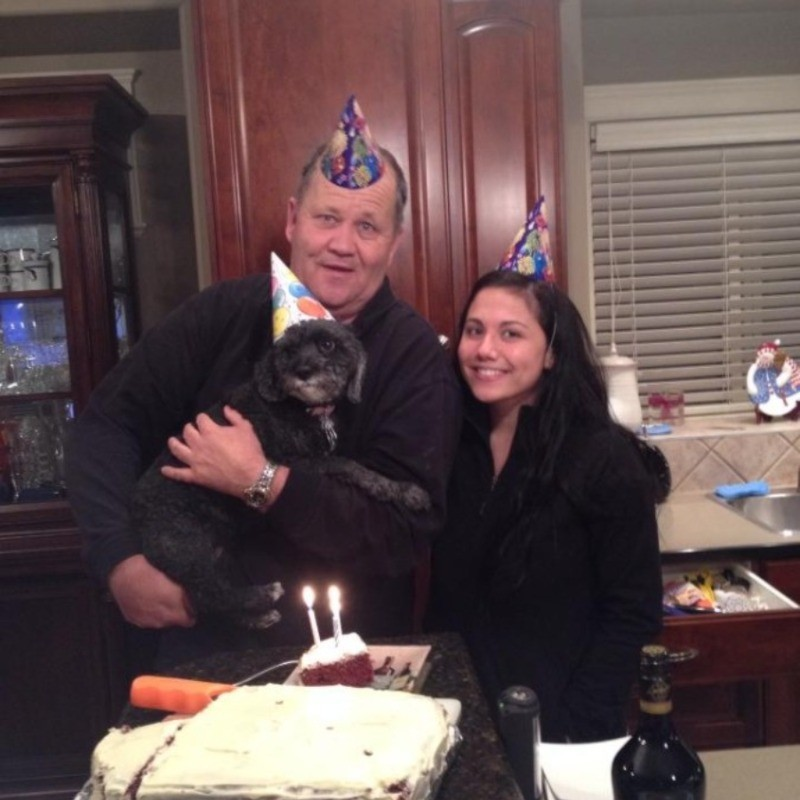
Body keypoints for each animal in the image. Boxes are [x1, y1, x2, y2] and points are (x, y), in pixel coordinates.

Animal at [132, 319, 431, 629]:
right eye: (288, 352)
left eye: (327, 344)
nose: (303, 371)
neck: (299, 408)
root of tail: (138, 516)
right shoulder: (297, 462)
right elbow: (350, 465)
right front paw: (397, 489)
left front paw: (404, 490)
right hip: (186, 542)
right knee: (210, 592)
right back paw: (263, 596)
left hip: (215, 550)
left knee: (205, 599)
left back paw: (256, 617)